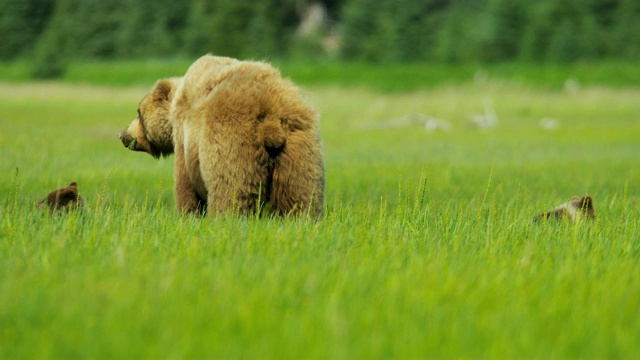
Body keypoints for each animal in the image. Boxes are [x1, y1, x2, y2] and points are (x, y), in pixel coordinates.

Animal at [119, 53, 324, 217]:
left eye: (138, 112)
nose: (123, 135)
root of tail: (269, 120)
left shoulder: (185, 138)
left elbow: (185, 183)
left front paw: (188, 214)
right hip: (298, 148)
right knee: (299, 194)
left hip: (231, 142)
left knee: (230, 191)